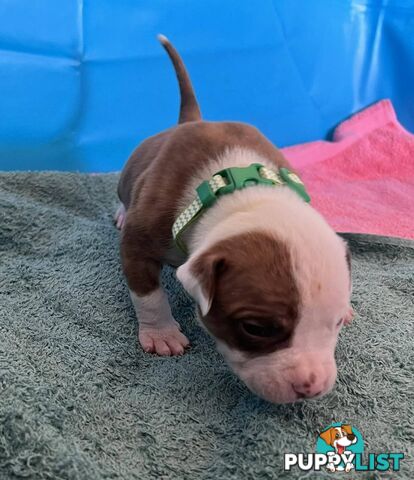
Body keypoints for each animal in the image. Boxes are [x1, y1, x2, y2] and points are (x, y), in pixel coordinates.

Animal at [115, 35, 352, 404]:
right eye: (255, 328)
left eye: (337, 321)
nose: (311, 387)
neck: (241, 193)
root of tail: (190, 119)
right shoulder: (140, 240)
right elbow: (148, 293)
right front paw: (162, 334)